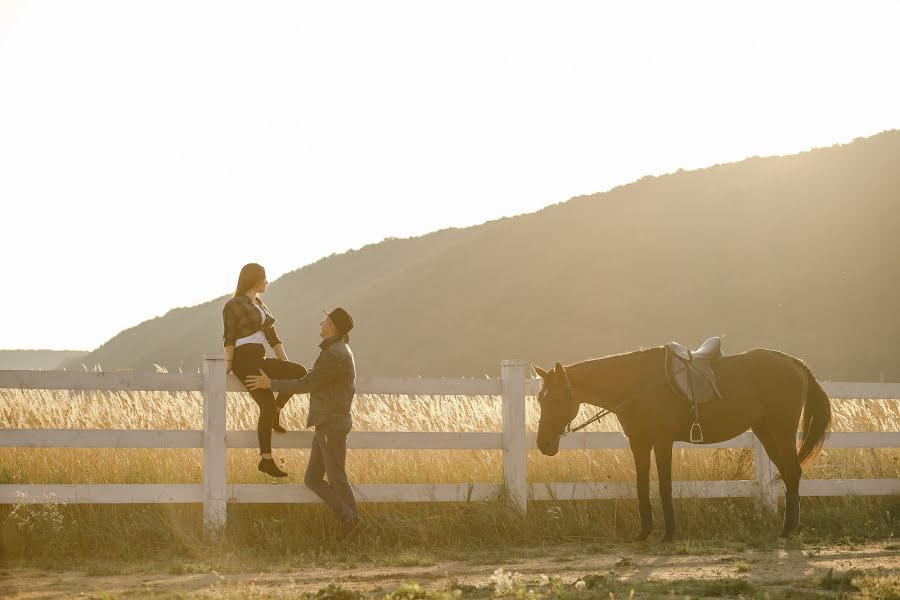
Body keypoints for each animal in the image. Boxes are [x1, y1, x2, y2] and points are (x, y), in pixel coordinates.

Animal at [532, 344, 832, 540]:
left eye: (555, 398)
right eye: (539, 398)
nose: (544, 444)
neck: (637, 384)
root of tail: (792, 362)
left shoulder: (662, 441)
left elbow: (664, 486)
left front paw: (669, 533)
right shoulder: (639, 442)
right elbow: (642, 485)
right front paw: (644, 532)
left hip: (781, 431)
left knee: (792, 472)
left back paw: (788, 529)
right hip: (765, 431)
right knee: (789, 473)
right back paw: (788, 527)